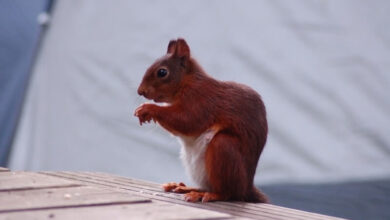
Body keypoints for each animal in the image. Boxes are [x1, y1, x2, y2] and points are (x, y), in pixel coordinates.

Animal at [135, 38, 268, 203]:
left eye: (162, 72)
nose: (140, 91)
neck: (187, 82)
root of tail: (247, 189)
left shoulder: (201, 102)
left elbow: (188, 121)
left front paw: (148, 108)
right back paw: (186, 188)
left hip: (223, 149)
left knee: (229, 193)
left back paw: (209, 195)